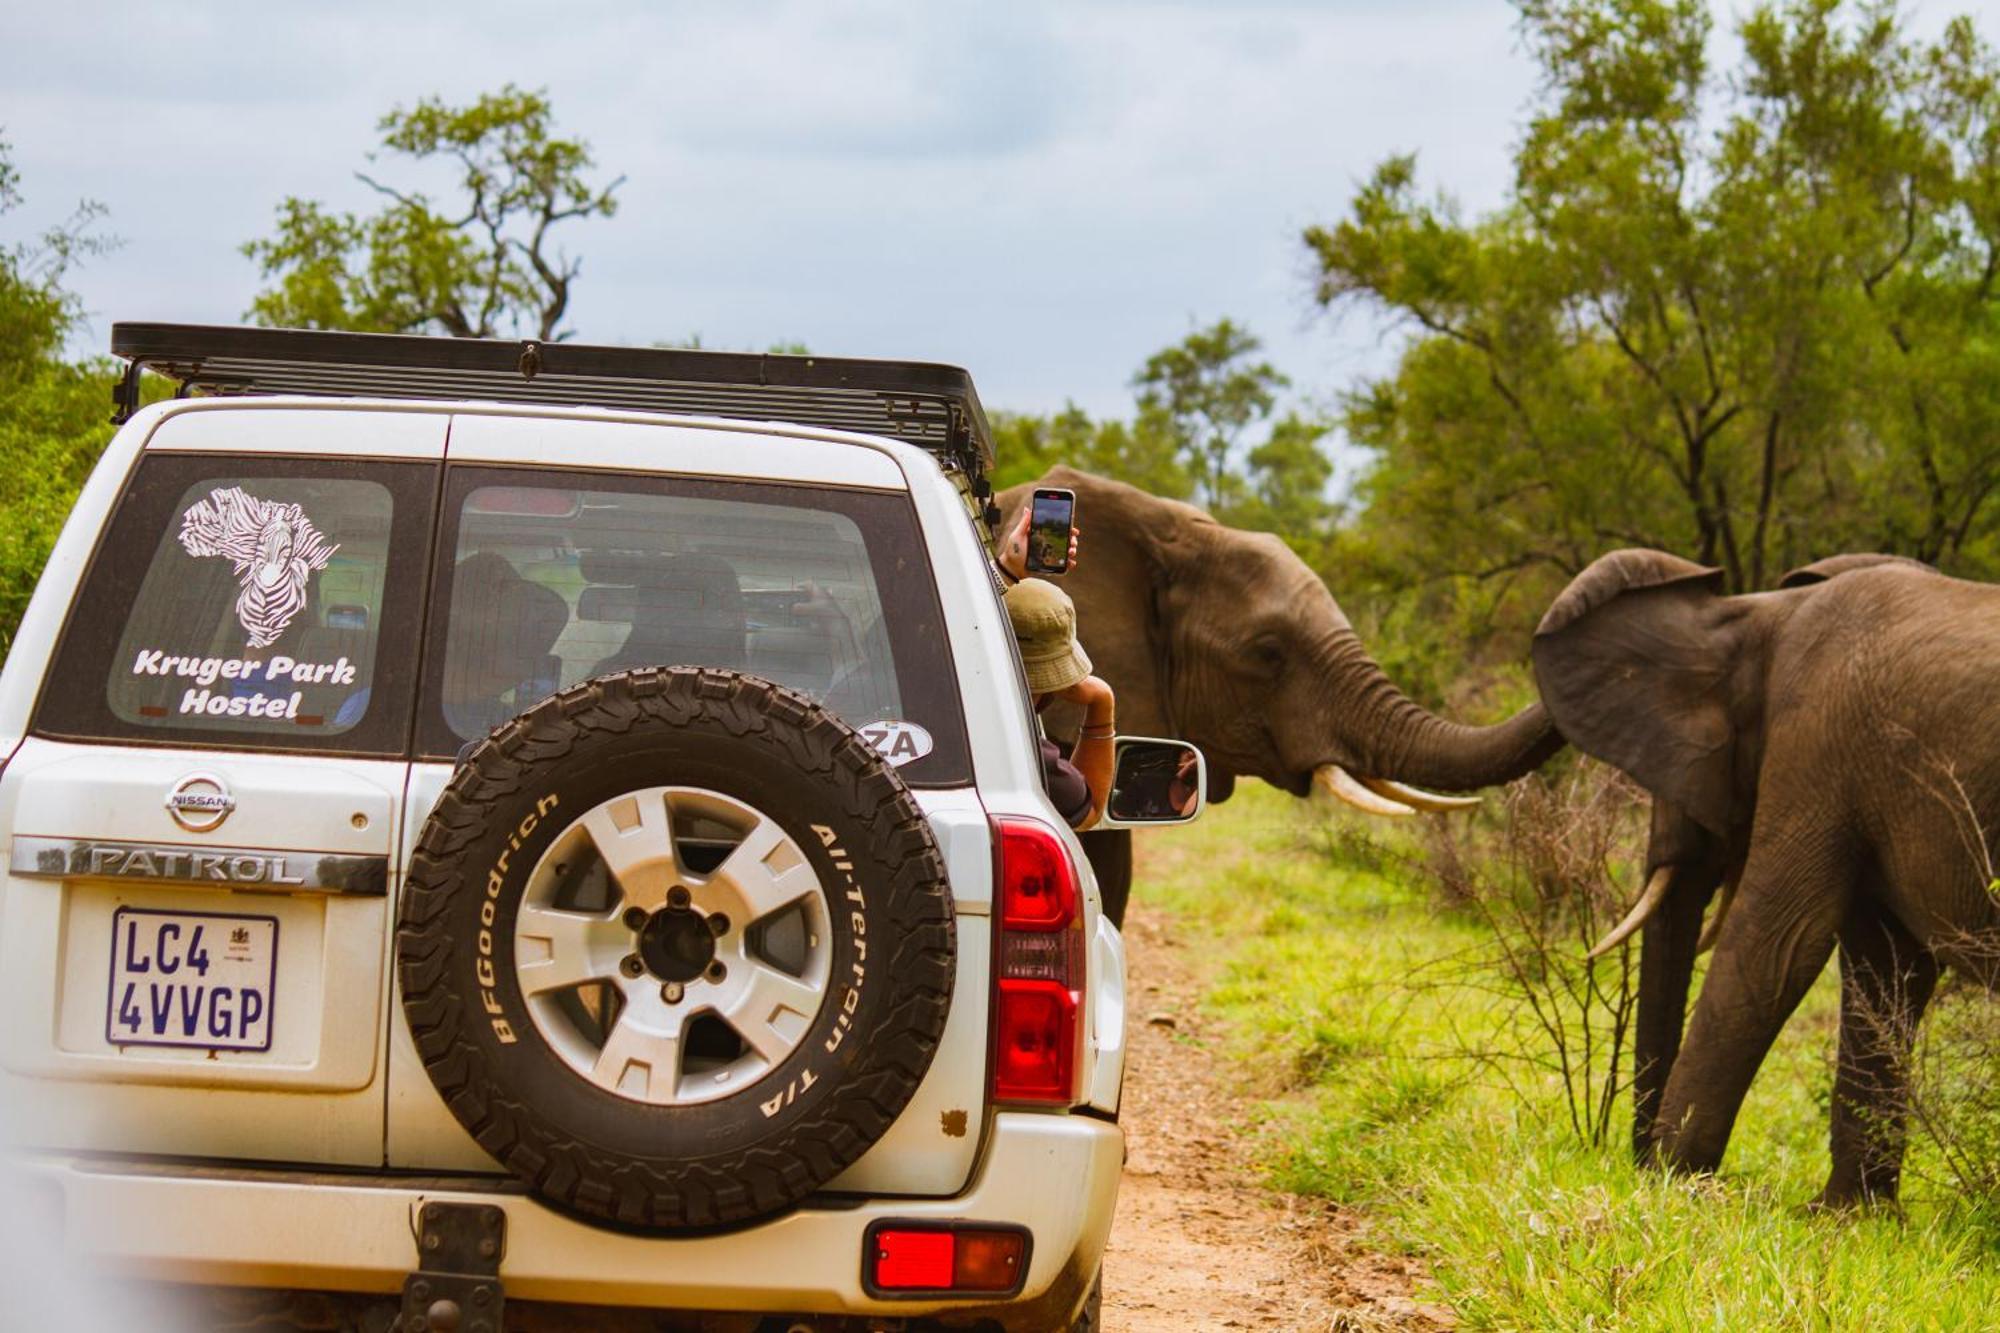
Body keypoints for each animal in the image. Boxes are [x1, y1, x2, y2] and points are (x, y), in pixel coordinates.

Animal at [1528, 544, 1984, 1200]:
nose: (1628, 1159)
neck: (1762, 614)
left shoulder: (1816, 746)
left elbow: (1776, 945)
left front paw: (1673, 1185)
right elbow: (1888, 967)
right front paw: (1846, 1215)